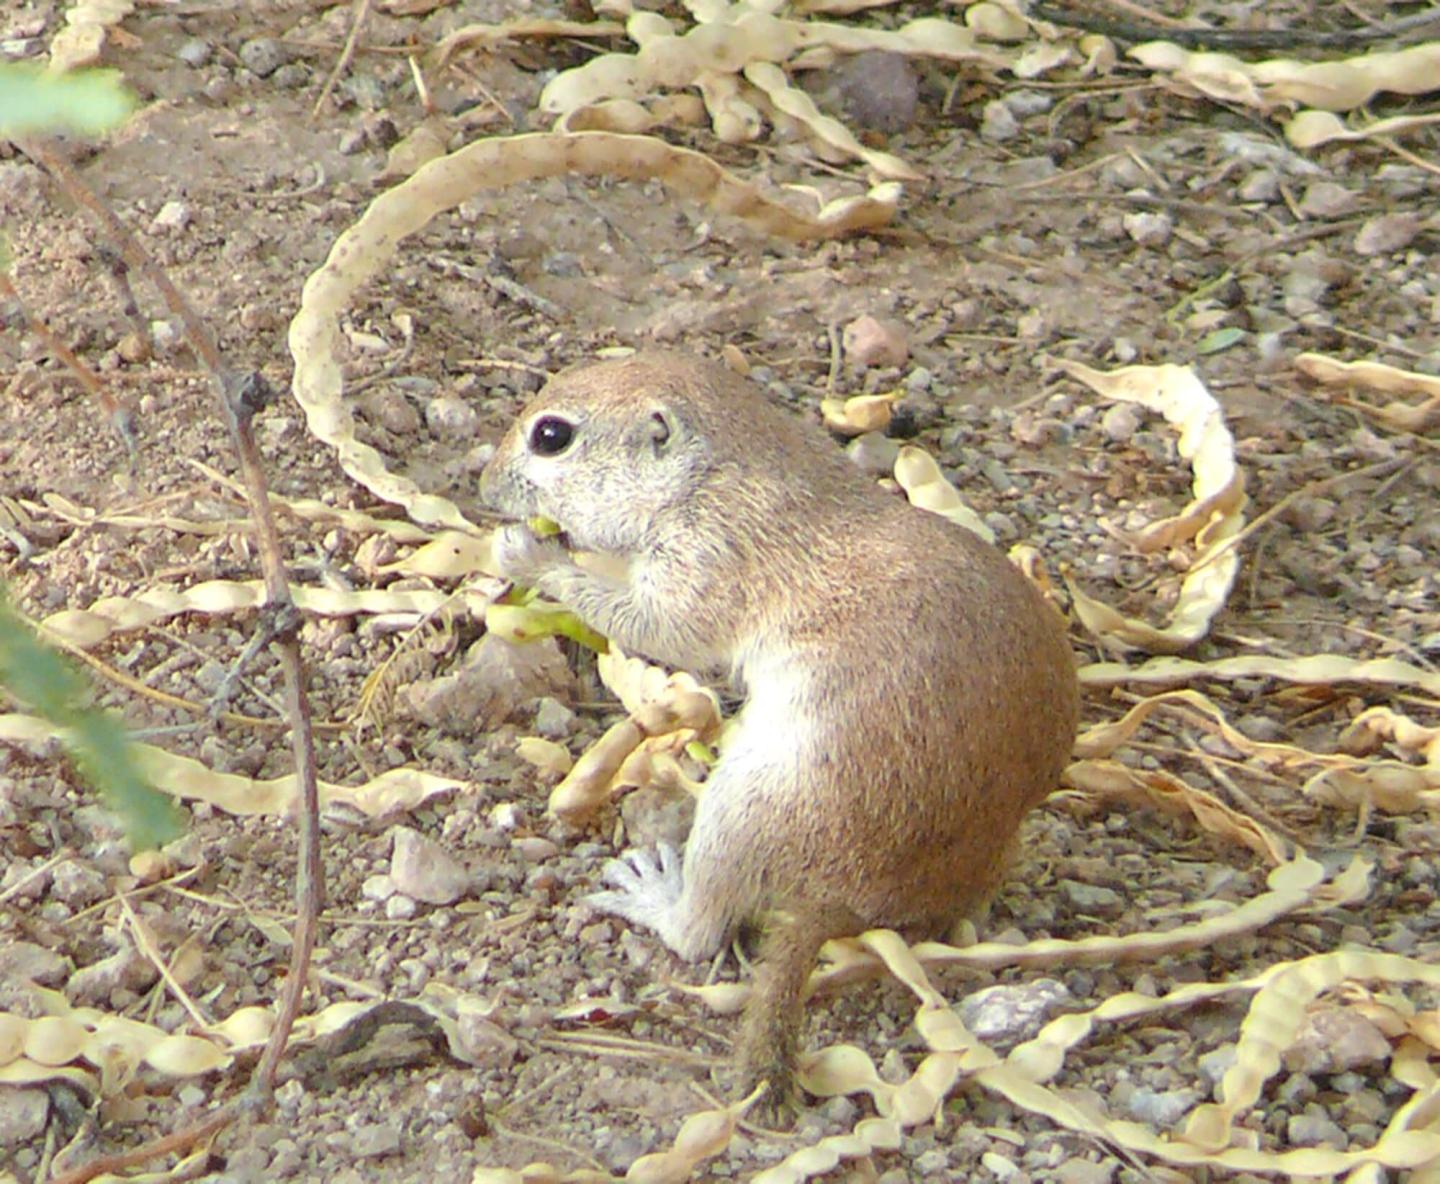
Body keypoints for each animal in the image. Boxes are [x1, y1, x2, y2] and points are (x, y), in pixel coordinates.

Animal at [479, 350, 1079, 1118]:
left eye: (551, 436)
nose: (484, 485)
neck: (713, 472)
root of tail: (860, 904)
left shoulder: (703, 561)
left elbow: (651, 625)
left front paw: (528, 554)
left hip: (747, 803)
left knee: (700, 933)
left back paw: (655, 894)